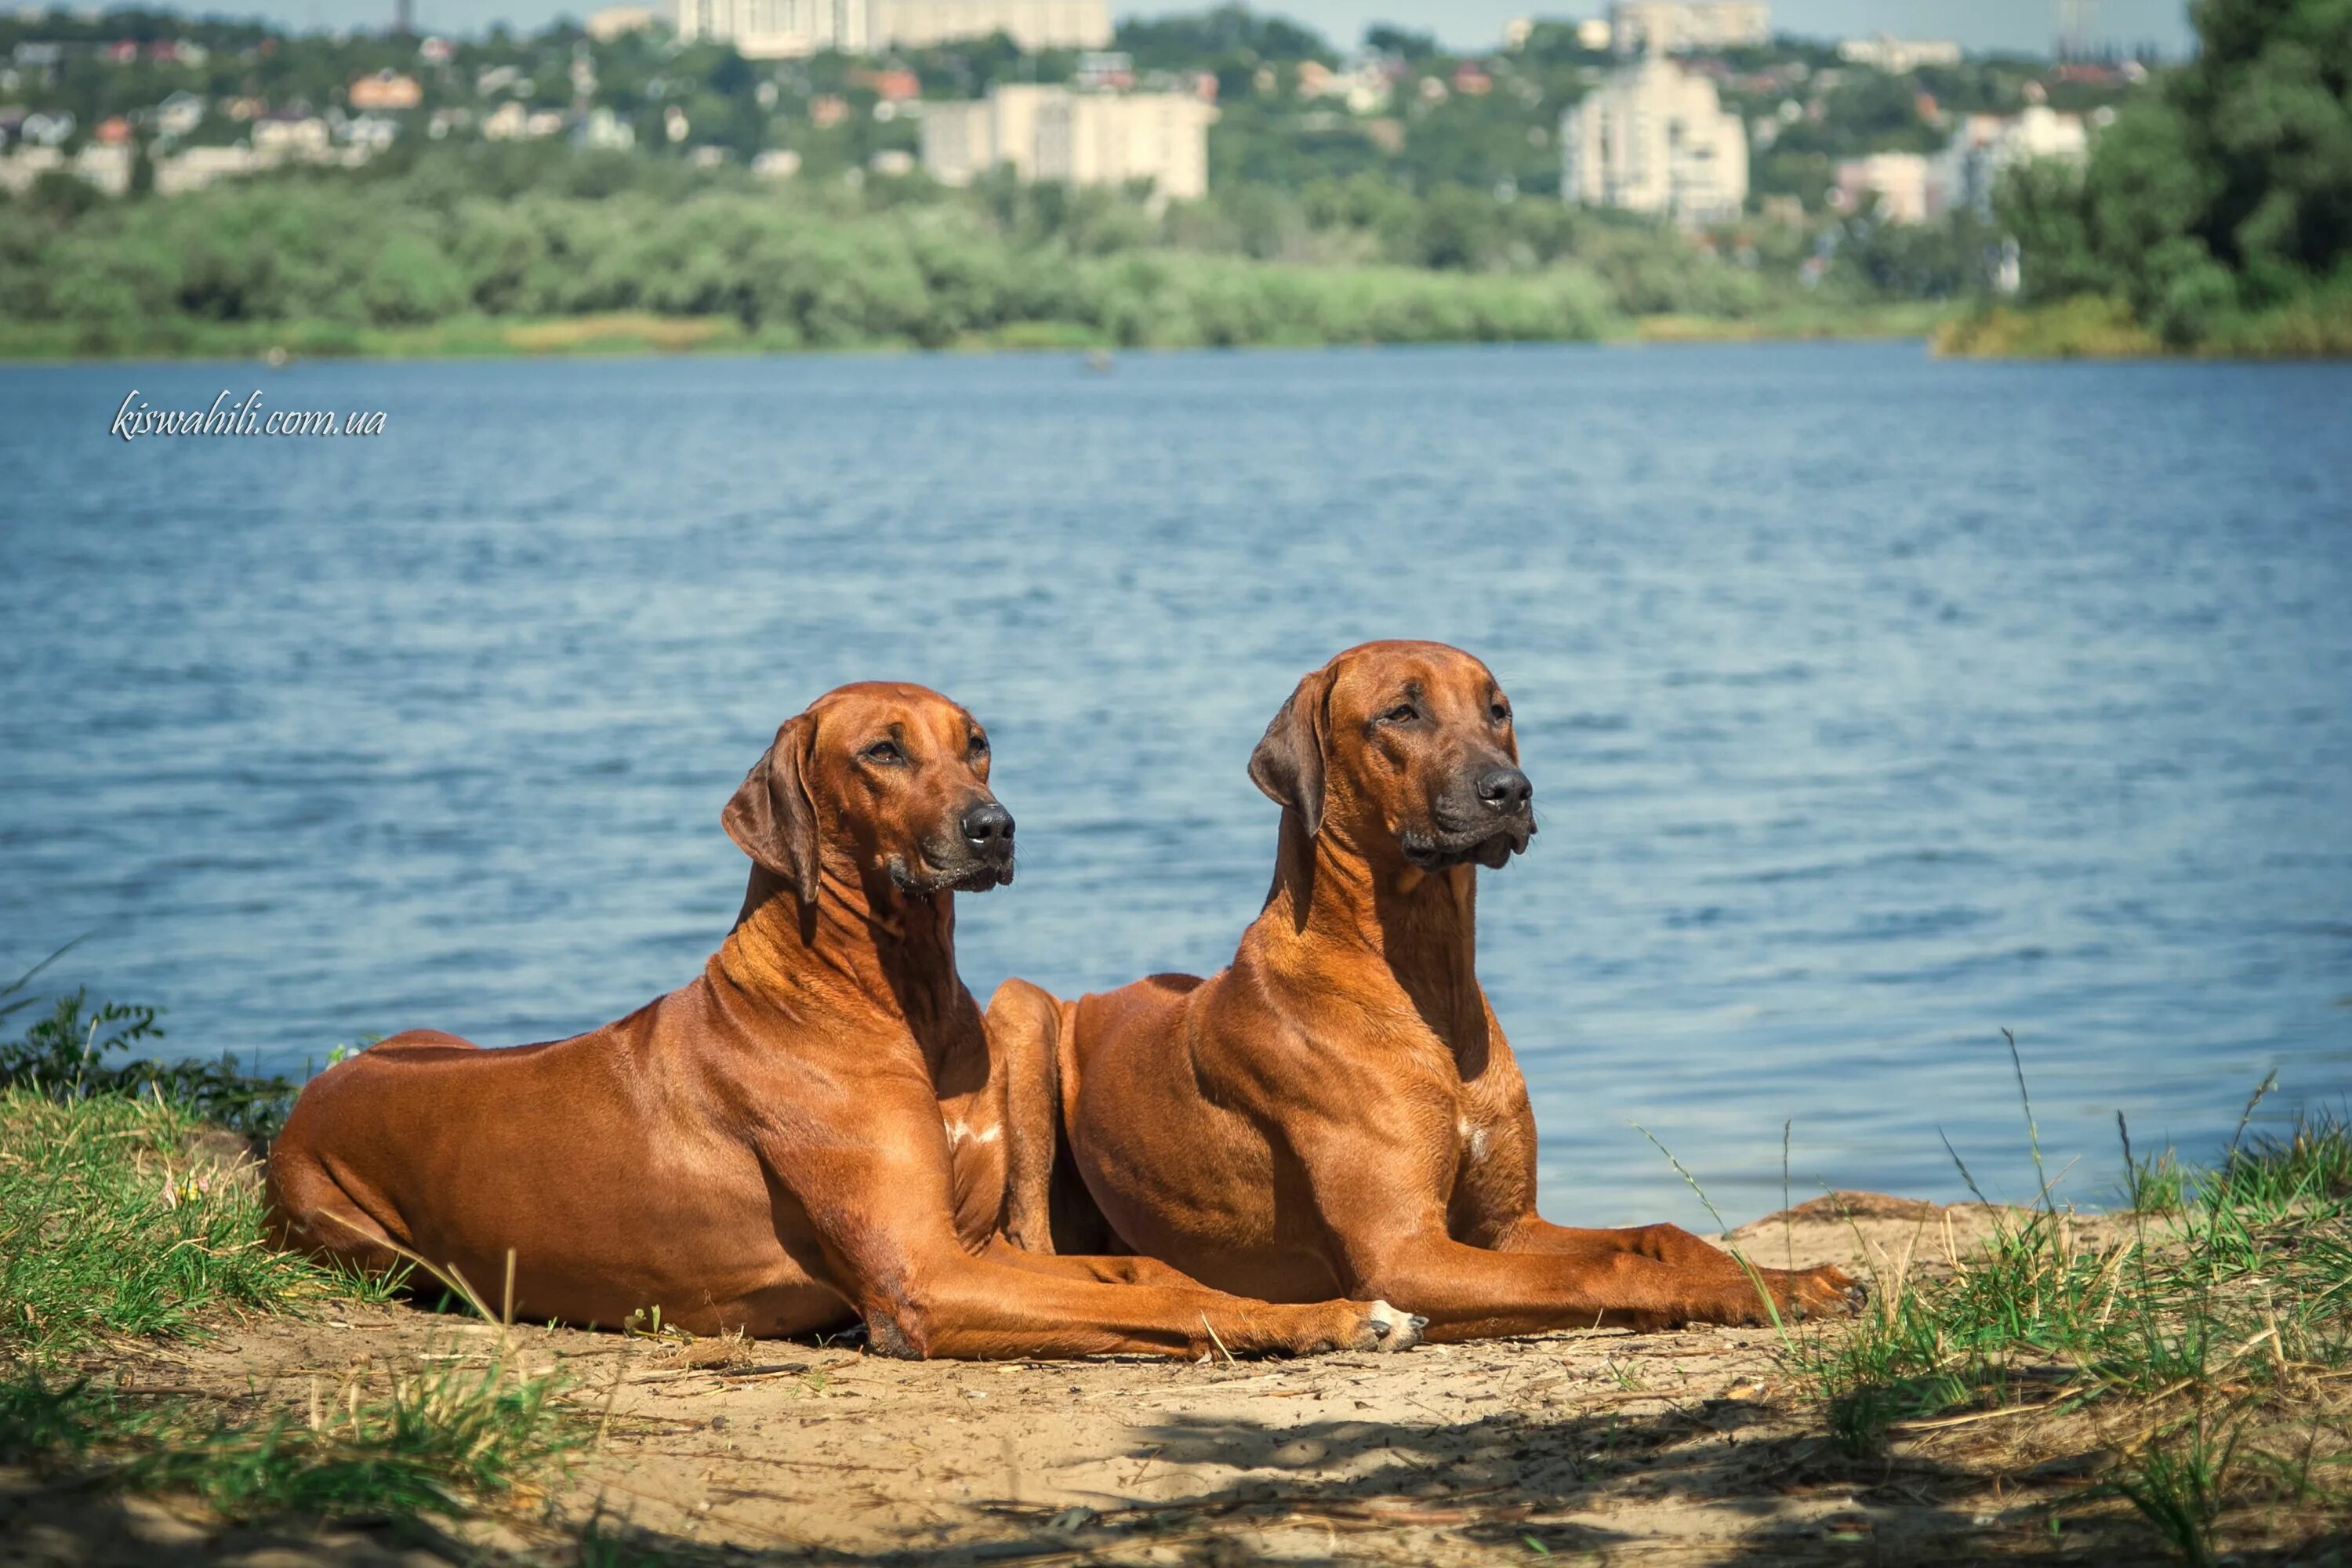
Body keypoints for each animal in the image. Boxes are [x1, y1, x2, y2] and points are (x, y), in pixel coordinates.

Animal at [267, 681, 1421, 1363]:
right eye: (882, 752)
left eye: (977, 745)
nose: (995, 827)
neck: (896, 998)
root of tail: (313, 1097)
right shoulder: (924, 1280)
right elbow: (1169, 1303)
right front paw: (1337, 1314)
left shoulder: (971, 1243)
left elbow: (1142, 1274)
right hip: (357, 1238)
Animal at [988, 644, 1853, 1345]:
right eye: (1402, 712)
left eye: (1498, 709)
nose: (1512, 789)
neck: (1425, 978)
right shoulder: (1405, 1255)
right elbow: (1604, 1267)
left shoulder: (1507, 1228)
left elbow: (1659, 1231)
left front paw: (1783, 1284)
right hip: (1021, 1010)